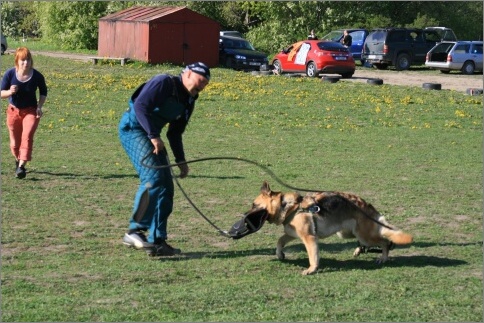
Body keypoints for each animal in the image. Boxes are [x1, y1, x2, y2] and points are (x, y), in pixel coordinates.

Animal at [246, 182, 412, 276]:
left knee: (384, 242)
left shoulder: (310, 238)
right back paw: (359, 250)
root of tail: (367, 206)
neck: (290, 207)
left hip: (364, 235)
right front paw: (280, 254)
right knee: (366, 241)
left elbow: (313, 256)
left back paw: (383, 257)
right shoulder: (292, 234)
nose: (245, 216)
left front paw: (312, 270)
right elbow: (280, 241)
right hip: (346, 233)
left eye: (254, 205)